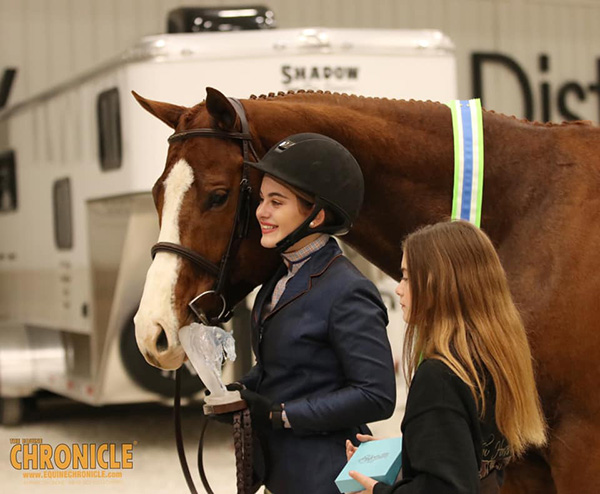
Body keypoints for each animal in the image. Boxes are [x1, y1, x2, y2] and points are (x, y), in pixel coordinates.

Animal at [132, 88, 600, 494]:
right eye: (156, 194)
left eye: (218, 195)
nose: (152, 332)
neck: (527, 209)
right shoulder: (520, 459)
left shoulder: (580, 447)